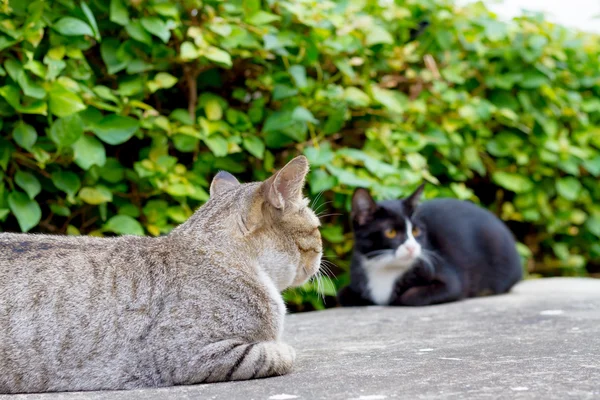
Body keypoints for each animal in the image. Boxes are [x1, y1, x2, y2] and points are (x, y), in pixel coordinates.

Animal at [340, 184, 524, 306]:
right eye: (390, 232)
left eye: (415, 231)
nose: (412, 247)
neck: (385, 268)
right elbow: (343, 294)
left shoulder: (450, 281)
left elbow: (409, 296)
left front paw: (397, 298)